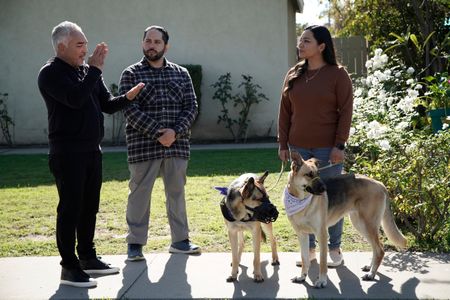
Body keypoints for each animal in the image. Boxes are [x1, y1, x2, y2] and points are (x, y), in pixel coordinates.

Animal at [284, 151, 408, 290]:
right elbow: (305, 259)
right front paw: (302, 277)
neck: (300, 200)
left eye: (318, 173)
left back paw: (371, 274)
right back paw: (370, 268)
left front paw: (322, 281)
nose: (325, 188)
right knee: (376, 248)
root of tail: (380, 184)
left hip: (368, 225)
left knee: (380, 249)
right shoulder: (302, 235)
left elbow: (323, 262)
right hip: (360, 225)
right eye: (309, 174)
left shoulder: (322, 234)